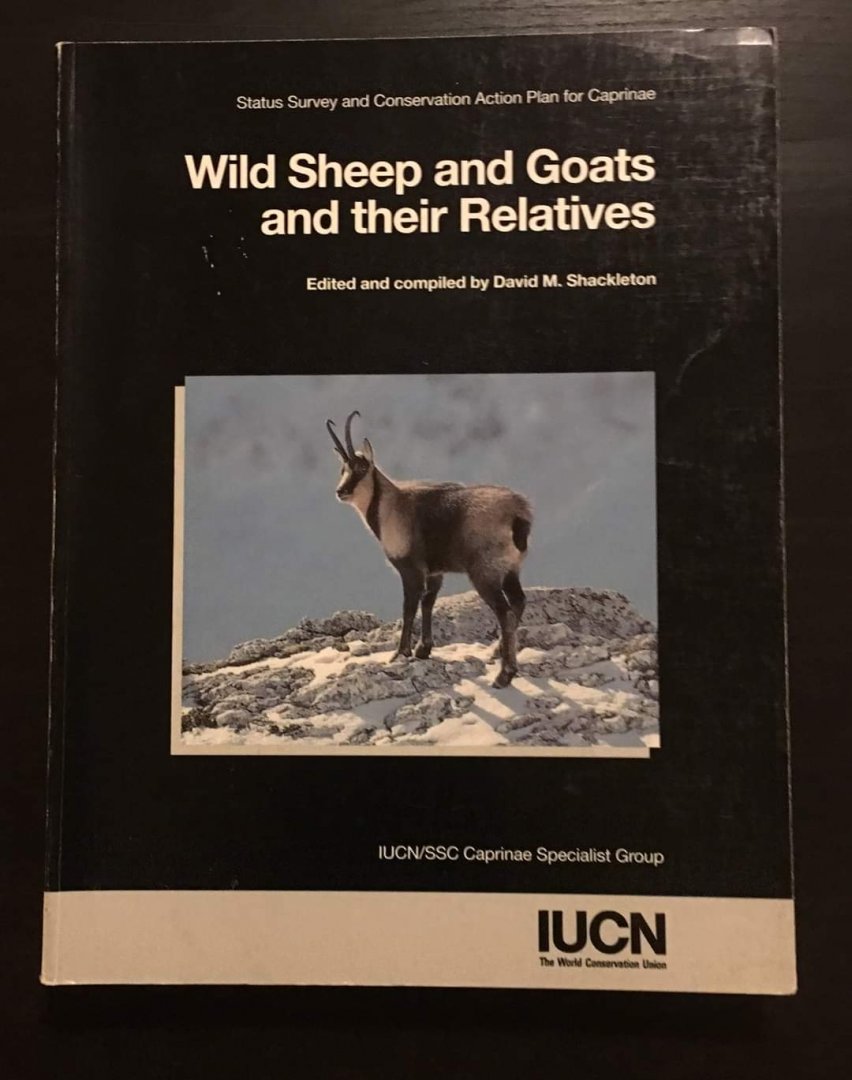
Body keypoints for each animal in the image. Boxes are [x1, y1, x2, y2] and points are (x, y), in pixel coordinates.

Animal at [327, 410, 533, 687]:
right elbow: (428, 602)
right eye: (342, 469)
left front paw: (400, 652)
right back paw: (497, 652)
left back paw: (504, 674)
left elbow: (409, 607)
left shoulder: (410, 569)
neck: (390, 507)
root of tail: (518, 515)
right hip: (510, 570)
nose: (341, 491)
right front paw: (423, 649)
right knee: (519, 602)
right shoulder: (435, 572)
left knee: (505, 612)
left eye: (361, 468)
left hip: (485, 573)